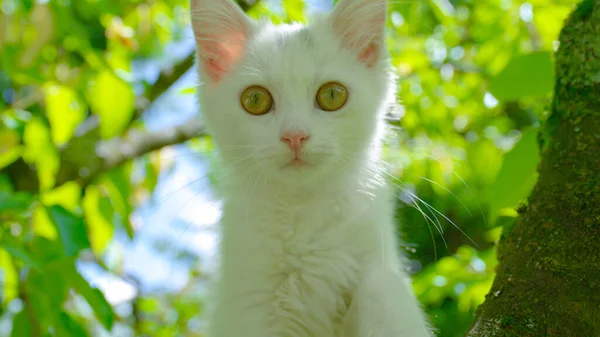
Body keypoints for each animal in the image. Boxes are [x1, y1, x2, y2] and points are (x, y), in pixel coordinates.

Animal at [191, 0, 432, 334]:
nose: (295, 135)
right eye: (255, 100)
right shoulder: (249, 303)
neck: (302, 212)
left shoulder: (379, 259)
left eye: (332, 95)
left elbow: (382, 290)